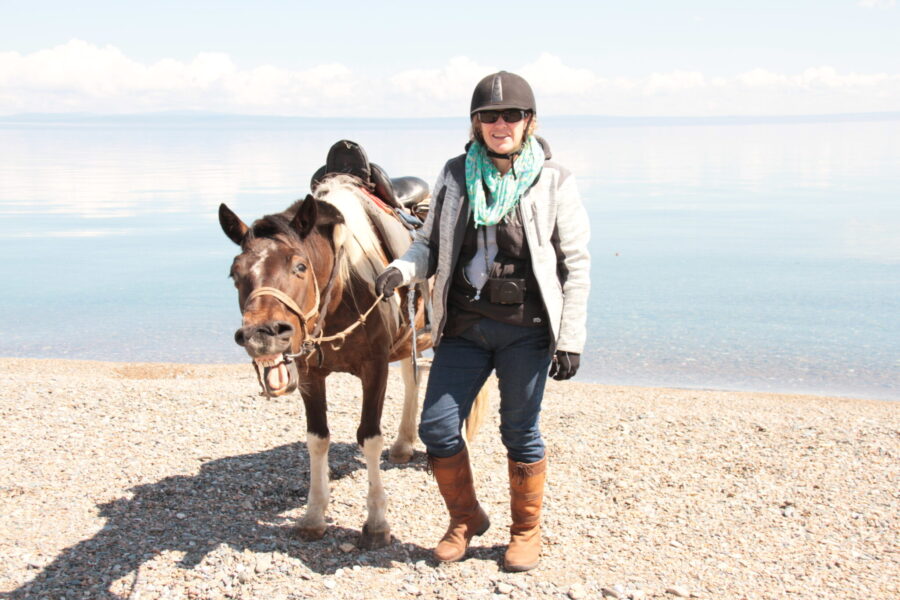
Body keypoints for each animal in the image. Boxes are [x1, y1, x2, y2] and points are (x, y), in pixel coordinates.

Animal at [218, 175, 429, 548]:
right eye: (235, 273)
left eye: (299, 266)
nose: (261, 334)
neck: (344, 289)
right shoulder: (309, 374)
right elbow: (317, 439)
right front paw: (314, 515)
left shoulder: (374, 368)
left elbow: (369, 437)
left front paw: (376, 522)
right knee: (412, 377)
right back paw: (404, 442)